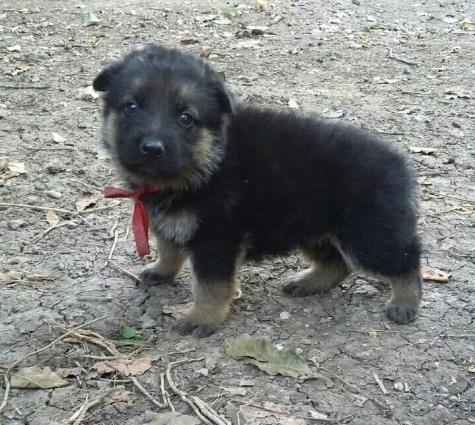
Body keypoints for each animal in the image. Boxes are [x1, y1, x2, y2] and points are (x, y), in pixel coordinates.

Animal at [93, 43, 422, 337]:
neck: (209, 161)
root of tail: (398, 164)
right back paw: (309, 282)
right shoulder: (171, 223)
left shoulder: (217, 239)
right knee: (337, 263)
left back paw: (405, 302)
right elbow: (169, 248)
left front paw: (202, 318)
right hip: (313, 228)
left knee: (407, 259)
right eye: (131, 107)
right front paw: (162, 271)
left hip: (367, 235)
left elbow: (209, 285)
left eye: (186, 118)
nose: (151, 148)